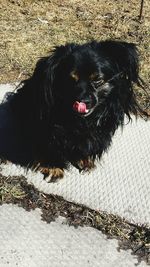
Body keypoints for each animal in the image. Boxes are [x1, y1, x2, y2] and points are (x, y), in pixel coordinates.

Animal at [9, 39, 146, 182]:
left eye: (97, 80)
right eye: (70, 80)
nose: (82, 101)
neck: (82, 120)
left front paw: (84, 159)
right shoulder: (47, 129)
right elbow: (50, 145)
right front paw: (53, 166)